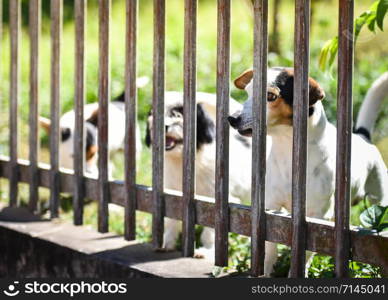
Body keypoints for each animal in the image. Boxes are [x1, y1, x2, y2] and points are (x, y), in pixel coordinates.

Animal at [146, 91, 252, 258]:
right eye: (153, 114)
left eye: (179, 114)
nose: (164, 126)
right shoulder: (170, 192)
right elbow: (171, 218)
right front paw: (167, 242)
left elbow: (211, 228)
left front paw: (208, 250)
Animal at [227, 68, 388, 276]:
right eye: (247, 92)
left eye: (270, 96)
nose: (232, 118)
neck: (287, 150)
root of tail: (362, 137)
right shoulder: (270, 207)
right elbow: (270, 247)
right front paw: (265, 271)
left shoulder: (316, 216)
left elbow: (307, 253)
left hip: (378, 199)